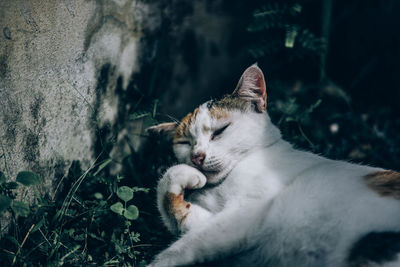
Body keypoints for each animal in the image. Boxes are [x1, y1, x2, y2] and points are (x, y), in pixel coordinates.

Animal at [146, 63, 400, 266]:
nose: (197, 157)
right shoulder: (216, 222)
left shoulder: (244, 214)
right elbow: (171, 199)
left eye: (220, 131)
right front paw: (187, 177)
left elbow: (180, 248)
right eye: (185, 143)